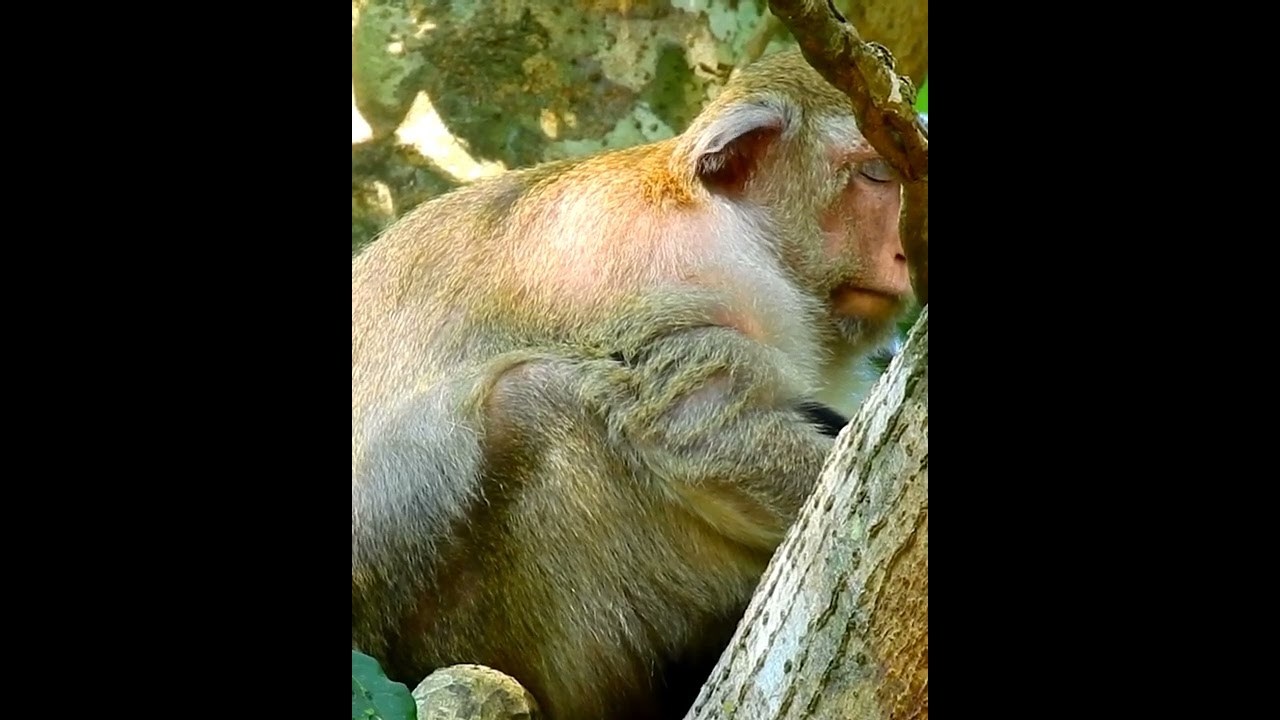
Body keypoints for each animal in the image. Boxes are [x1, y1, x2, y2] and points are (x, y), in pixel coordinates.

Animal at [352, 49, 911, 720]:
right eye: (875, 173)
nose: (906, 254)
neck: (730, 220)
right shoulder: (671, 263)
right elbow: (701, 425)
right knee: (532, 402)